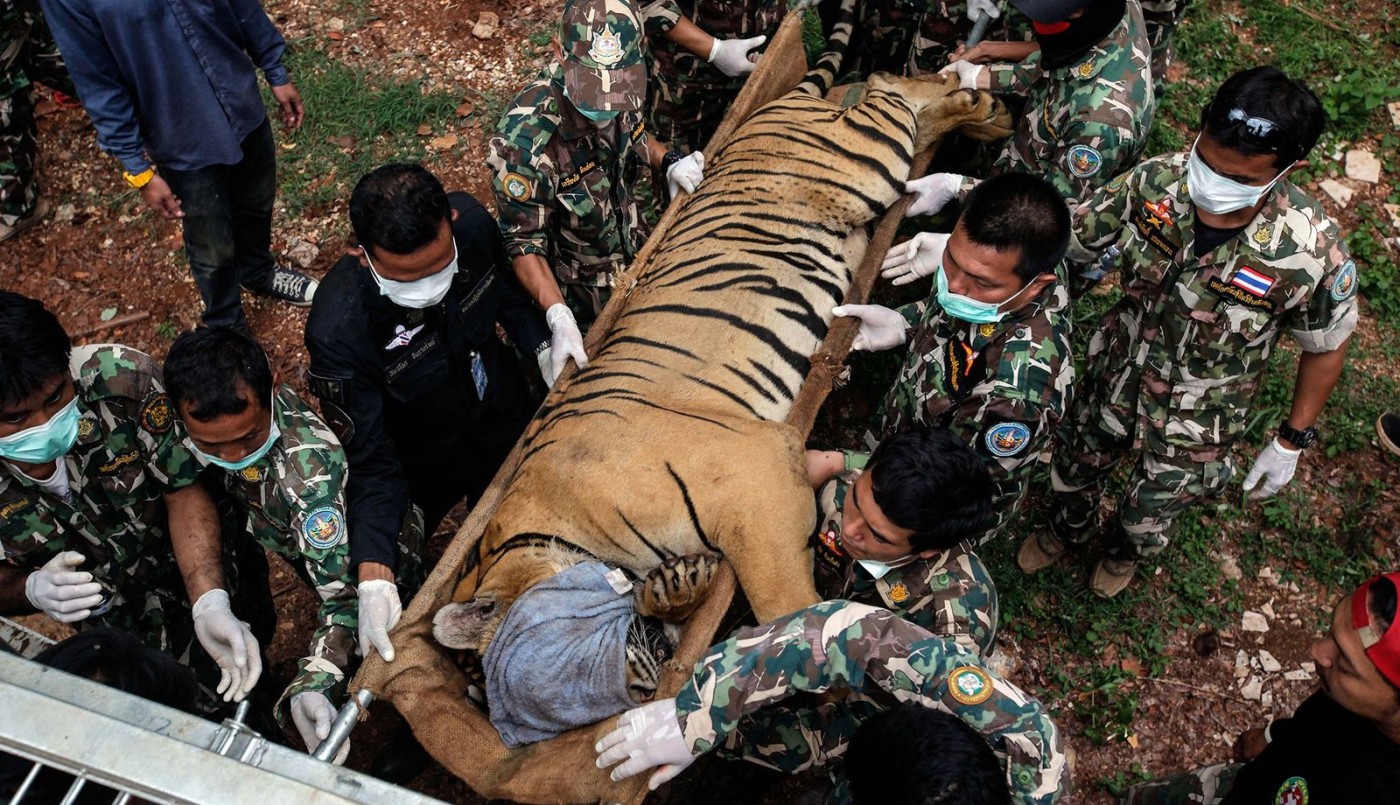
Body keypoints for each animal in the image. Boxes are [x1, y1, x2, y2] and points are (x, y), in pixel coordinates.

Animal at [431, 16, 1013, 708]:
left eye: (555, 677)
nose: (636, 692)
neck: (545, 526)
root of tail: (780, 105)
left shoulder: (753, 476)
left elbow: (785, 606)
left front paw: (825, 667)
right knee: (895, 95)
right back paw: (985, 108)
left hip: (862, 160)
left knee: (884, 84)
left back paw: (976, 102)